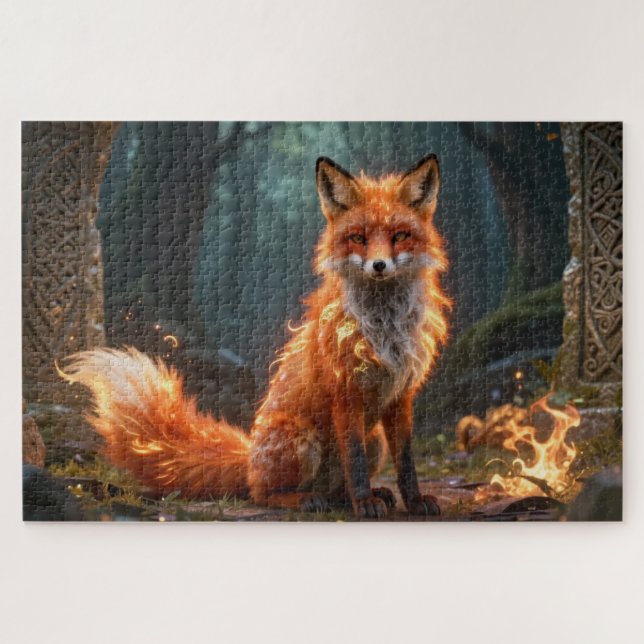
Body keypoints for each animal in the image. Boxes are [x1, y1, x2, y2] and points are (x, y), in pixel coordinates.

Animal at [60, 154, 450, 519]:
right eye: (359, 238)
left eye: (399, 236)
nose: (379, 266)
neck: (383, 329)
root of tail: (248, 457)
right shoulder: (346, 392)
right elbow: (353, 461)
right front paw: (364, 503)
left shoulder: (401, 394)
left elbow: (406, 462)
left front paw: (413, 501)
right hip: (299, 437)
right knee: (262, 492)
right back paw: (308, 499)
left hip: (375, 442)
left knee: (332, 485)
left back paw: (358, 495)